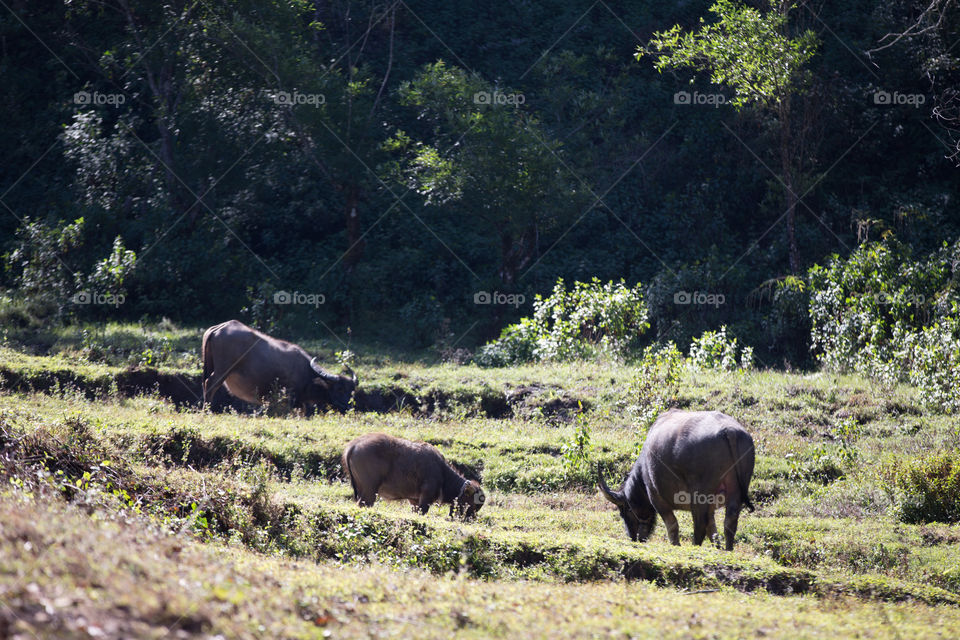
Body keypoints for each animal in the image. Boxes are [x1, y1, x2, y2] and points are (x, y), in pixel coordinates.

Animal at [201, 320, 358, 416]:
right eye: (339, 389)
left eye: (352, 391)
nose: (347, 407)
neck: (307, 373)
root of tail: (219, 327)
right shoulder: (291, 400)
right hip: (223, 369)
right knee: (211, 383)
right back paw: (207, 410)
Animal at [342, 432, 484, 516]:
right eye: (473, 504)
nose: (469, 519)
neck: (442, 473)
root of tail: (353, 446)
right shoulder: (425, 498)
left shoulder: (414, 500)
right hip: (370, 490)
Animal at [596, 410, 752, 552]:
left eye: (625, 511)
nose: (633, 537)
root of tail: (729, 430)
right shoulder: (712, 506)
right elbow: (712, 529)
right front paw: (717, 547)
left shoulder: (655, 496)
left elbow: (672, 524)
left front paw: (675, 544)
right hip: (734, 493)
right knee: (729, 523)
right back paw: (728, 549)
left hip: (699, 495)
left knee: (699, 524)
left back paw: (695, 546)